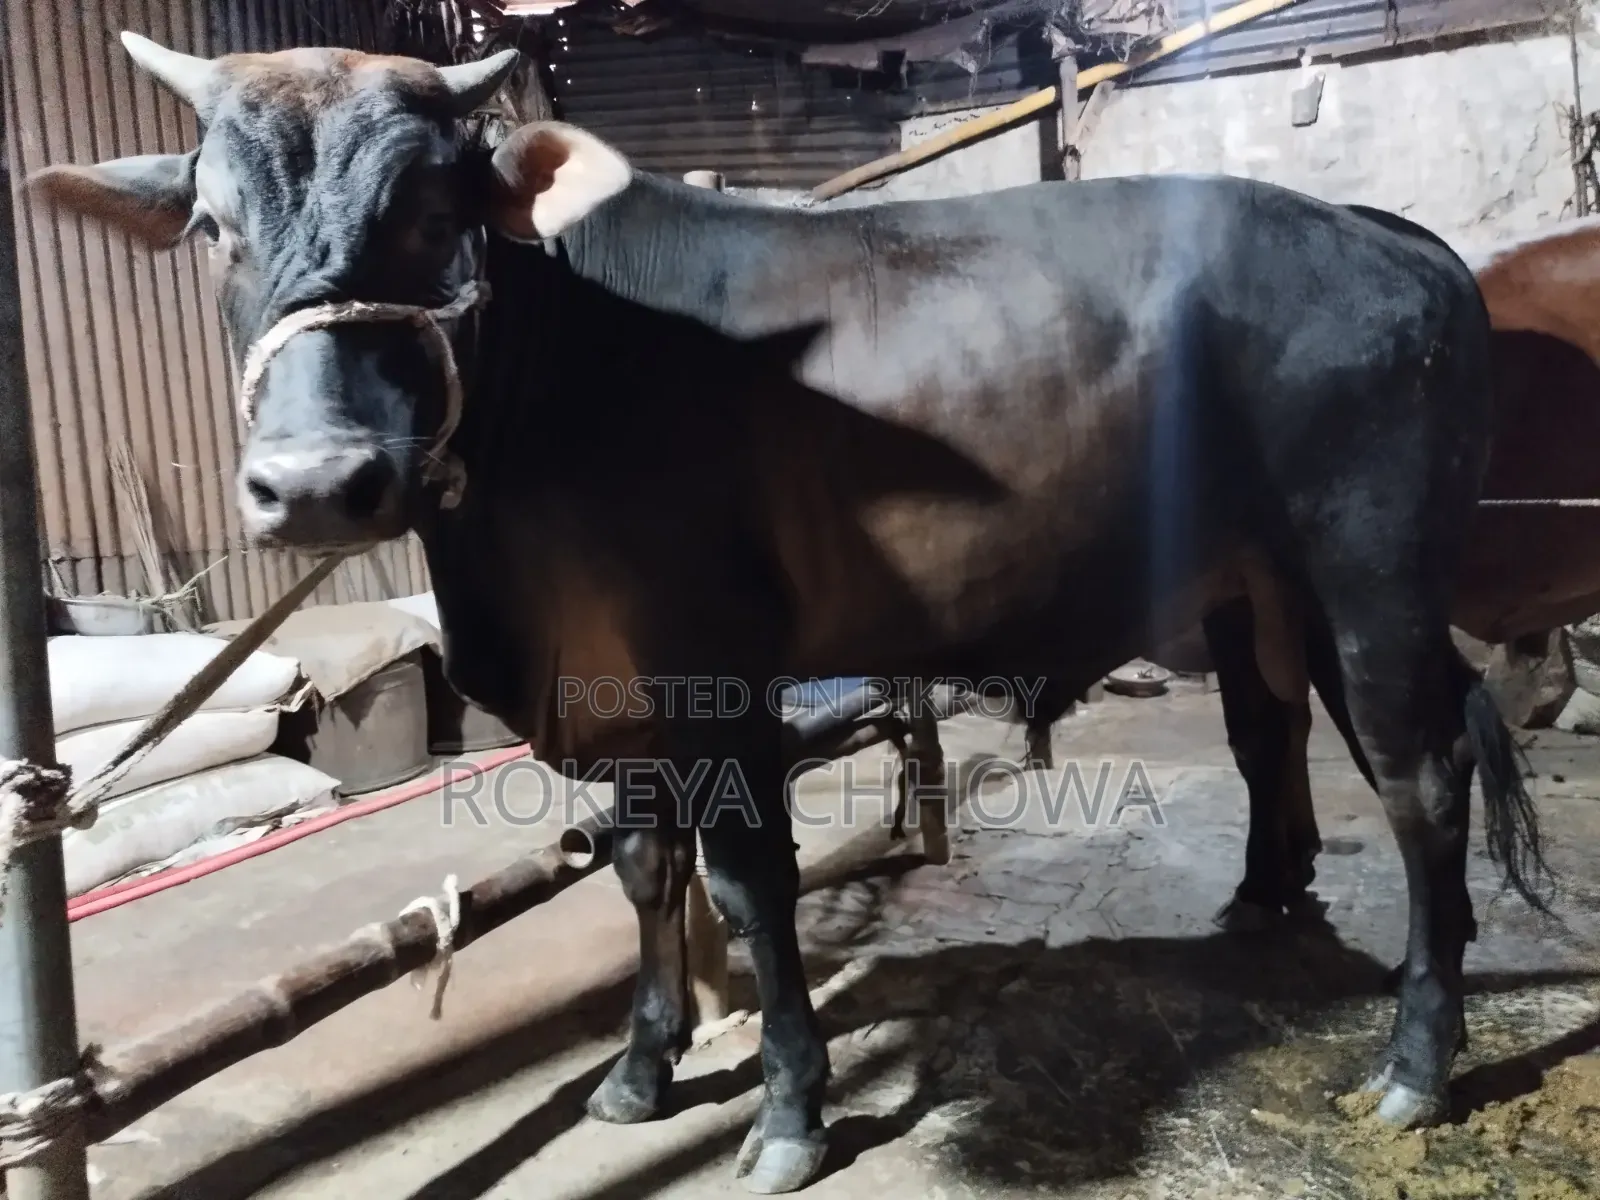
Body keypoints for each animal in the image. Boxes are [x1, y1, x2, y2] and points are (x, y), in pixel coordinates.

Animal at [28, 36, 1548, 1193]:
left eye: (429, 215)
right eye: (213, 227)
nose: (319, 484)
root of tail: (1384, 236)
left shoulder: (714, 670)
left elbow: (749, 883)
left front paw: (787, 1112)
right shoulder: (611, 690)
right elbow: (641, 867)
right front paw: (639, 1071)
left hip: (1371, 575)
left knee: (1419, 778)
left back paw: (1415, 1065)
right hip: (1267, 588)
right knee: (1278, 733)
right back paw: (1264, 911)